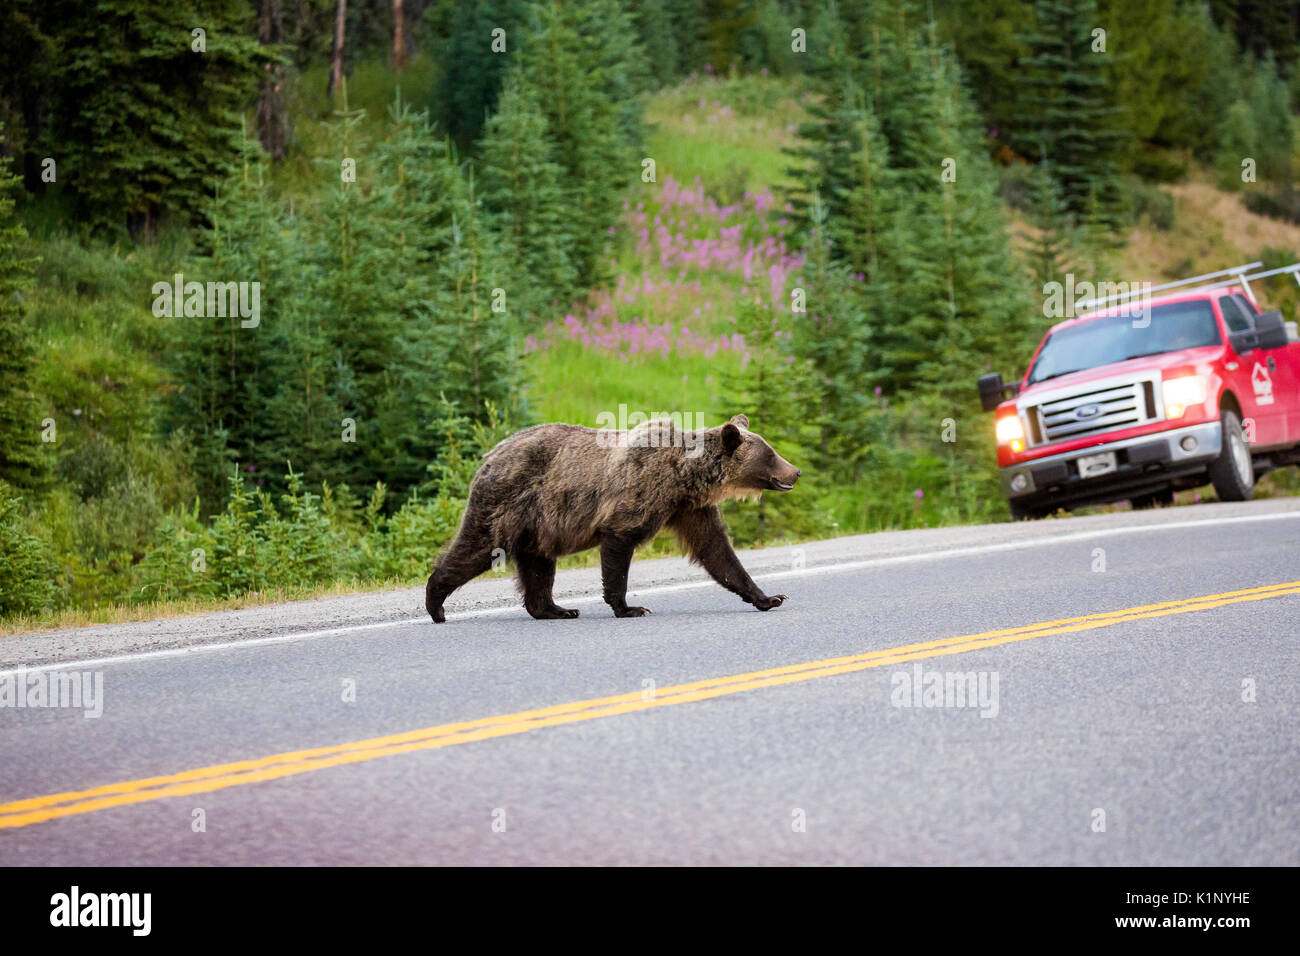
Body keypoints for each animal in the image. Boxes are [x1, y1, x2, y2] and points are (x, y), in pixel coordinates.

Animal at [425, 413, 801, 622]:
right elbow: (620, 545)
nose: (795, 471)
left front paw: (769, 598)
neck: (684, 476)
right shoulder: (638, 496)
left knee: (538, 565)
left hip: (538, 523)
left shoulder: (689, 508)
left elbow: (717, 552)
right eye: (770, 455)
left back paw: (557, 609)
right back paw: (436, 605)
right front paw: (630, 607)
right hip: (508, 501)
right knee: (480, 546)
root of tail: (490, 454)